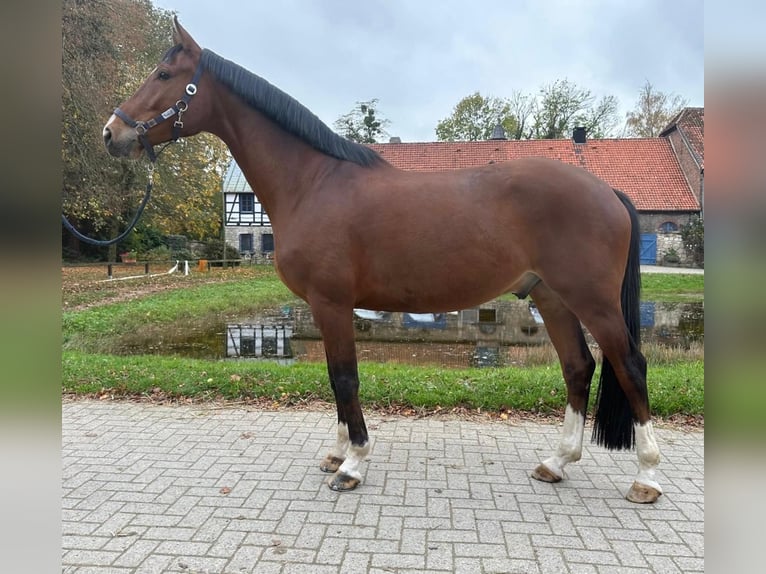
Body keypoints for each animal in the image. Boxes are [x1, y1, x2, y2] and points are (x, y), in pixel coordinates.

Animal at [102, 18, 664, 504]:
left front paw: (353, 464)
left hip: (592, 301)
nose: (112, 133)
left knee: (629, 365)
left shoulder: (330, 302)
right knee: (578, 366)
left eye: (164, 75)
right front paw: (336, 454)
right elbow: (334, 376)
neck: (313, 183)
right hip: (550, 296)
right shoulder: (326, 307)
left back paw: (647, 477)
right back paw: (556, 461)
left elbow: (345, 378)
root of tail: (607, 191)